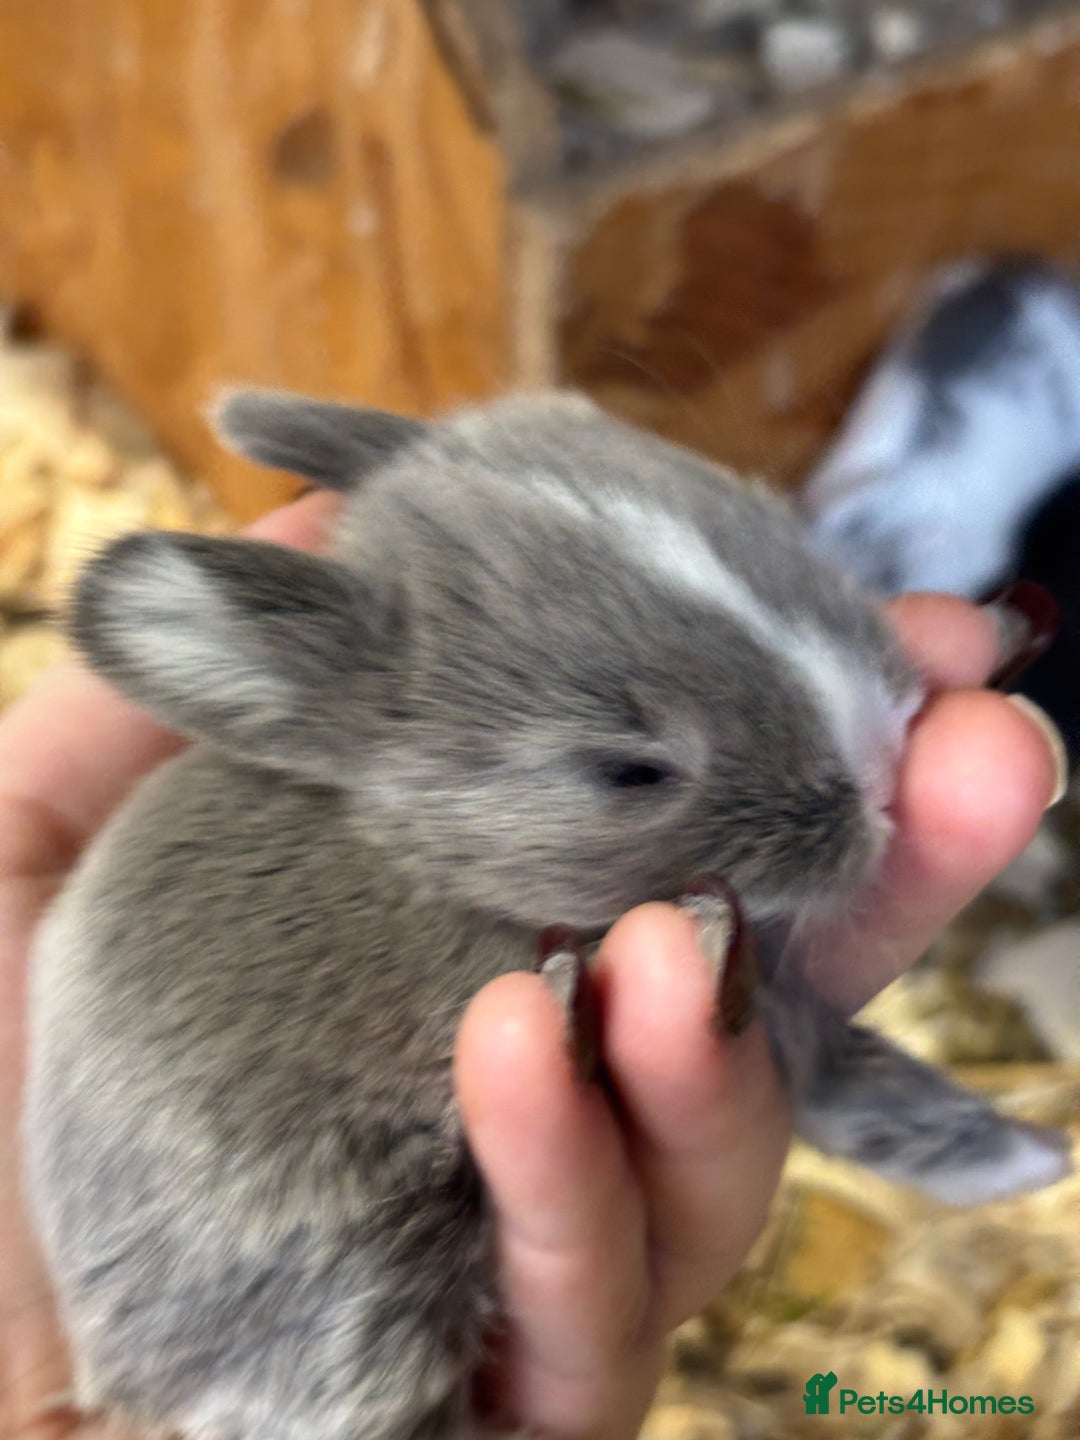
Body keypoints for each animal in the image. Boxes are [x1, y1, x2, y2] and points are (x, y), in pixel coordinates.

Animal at [24, 388, 1071, 1440]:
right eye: (630, 772)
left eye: (767, 527)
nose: (880, 758)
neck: (433, 857)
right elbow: (863, 1084)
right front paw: (1026, 1162)